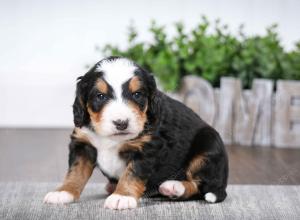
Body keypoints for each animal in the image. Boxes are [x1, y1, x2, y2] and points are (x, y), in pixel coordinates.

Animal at [43, 56, 229, 210]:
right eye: (100, 96)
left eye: (137, 94)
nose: (121, 123)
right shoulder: (83, 144)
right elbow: (75, 172)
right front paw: (63, 192)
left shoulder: (147, 148)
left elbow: (132, 173)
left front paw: (122, 196)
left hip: (209, 144)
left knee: (201, 185)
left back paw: (174, 187)